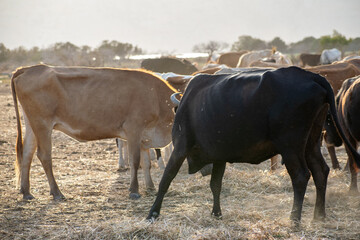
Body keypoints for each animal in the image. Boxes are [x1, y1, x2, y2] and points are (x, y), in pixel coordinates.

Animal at [11, 64, 179, 201]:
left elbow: (146, 163)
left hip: (32, 125)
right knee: (44, 156)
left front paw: (150, 187)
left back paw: (26, 192)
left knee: (27, 153)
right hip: (42, 124)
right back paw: (57, 193)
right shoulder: (133, 130)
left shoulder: (145, 138)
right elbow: (135, 161)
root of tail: (29, 68)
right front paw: (134, 191)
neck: (155, 96)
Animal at [147, 67, 360, 223]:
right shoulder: (220, 156)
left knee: (301, 176)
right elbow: (215, 184)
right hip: (311, 143)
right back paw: (318, 216)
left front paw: (152, 213)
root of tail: (312, 76)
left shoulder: (180, 147)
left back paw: (294, 219)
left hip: (291, 146)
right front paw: (217, 213)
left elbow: (166, 179)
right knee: (320, 171)